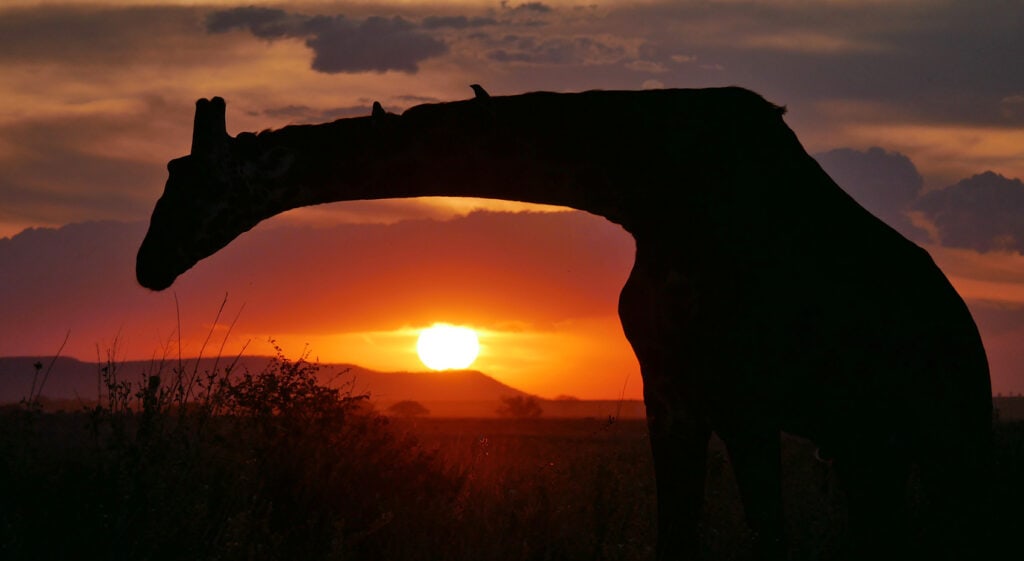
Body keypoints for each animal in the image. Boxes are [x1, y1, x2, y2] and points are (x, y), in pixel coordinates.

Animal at [137, 87, 993, 560]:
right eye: (170, 173)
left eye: (196, 182)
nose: (148, 263)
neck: (642, 188)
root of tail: (969, 341)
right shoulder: (675, 384)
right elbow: (680, 532)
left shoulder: (743, 394)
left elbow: (765, 532)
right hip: (869, 444)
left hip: (940, 438)